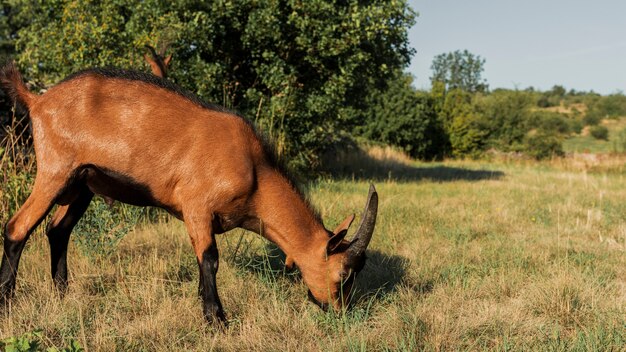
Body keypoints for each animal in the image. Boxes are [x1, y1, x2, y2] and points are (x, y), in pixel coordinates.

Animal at [0, 62, 376, 324]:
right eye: (343, 274)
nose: (342, 312)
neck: (254, 169)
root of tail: (37, 100)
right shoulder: (197, 205)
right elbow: (209, 259)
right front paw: (217, 320)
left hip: (82, 183)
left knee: (57, 230)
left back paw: (63, 294)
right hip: (55, 170)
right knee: (18, 227)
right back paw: (7, 301)